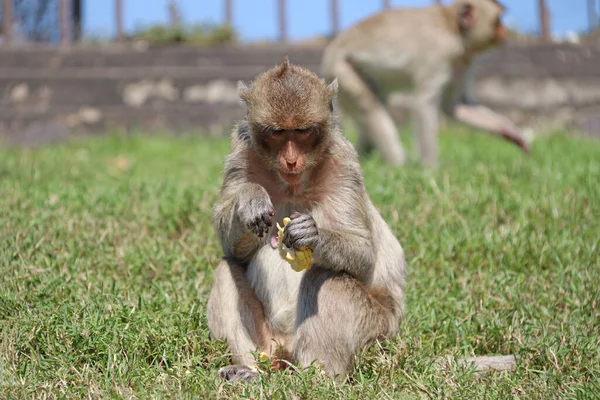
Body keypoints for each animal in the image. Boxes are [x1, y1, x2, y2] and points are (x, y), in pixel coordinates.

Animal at [207, 56, 408, 382]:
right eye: (277, 132)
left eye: (302, 131)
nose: (291, 160)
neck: (293, 183)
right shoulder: (240, 153)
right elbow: (232, 250)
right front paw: (249, 200)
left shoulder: (344, 163)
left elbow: (364, 254)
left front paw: (312, 235)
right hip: (271, 340)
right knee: (226, 269)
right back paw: (251, 371)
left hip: (377, 332)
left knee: (325, 277)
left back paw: (318, 379)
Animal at [324, 0, 528, 166]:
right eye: (498, 20)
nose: (505, 31)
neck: (453, 30)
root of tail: (331, 50)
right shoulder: (439, 54)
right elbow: (424, 102)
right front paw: (431, 166)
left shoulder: (464, 62)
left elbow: (454, 106)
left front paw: (511, 132)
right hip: (342, 70)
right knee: (370, 107)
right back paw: (398, 164)